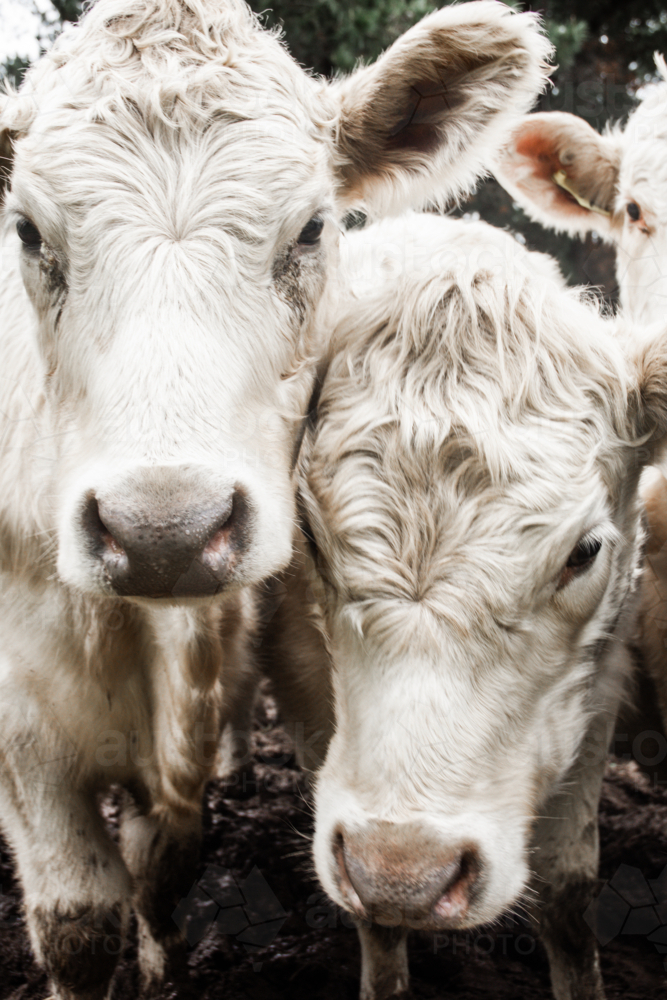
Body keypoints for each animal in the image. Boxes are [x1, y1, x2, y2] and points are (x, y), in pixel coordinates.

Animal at [0, 0, 553, 996]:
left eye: (308, 228)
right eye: (27, 231)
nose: (163, 533)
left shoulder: (200, 692)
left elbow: (161, 862)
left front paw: (163, 964)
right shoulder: (23, 723)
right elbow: (77, 924)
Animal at [266, 211, 664, 1000]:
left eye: (584, 552)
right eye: (313, 542)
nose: (403, 876)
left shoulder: (597, 685)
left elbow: (567, 891)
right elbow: (377, 931)